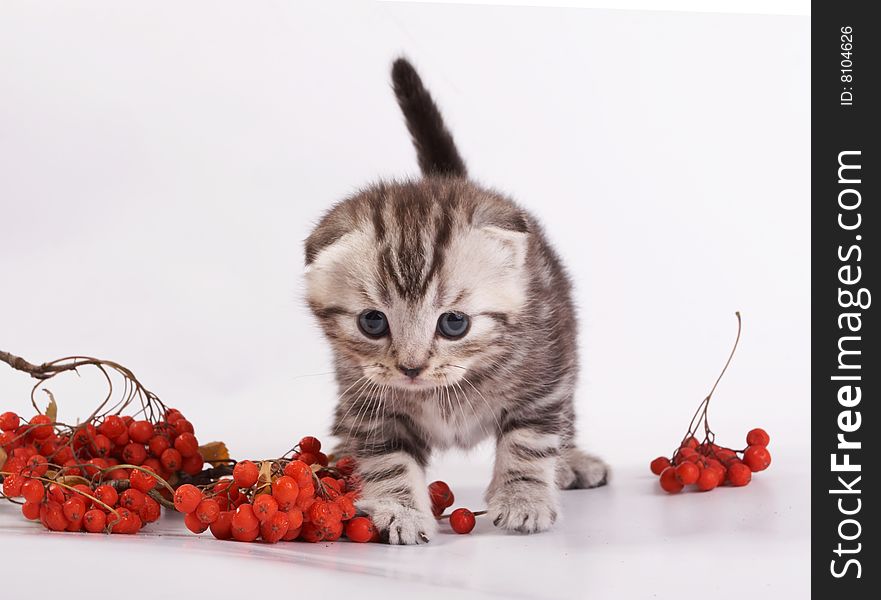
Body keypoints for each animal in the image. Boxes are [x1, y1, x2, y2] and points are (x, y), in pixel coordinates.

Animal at [302, 57, 604, 544]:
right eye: (372, 322)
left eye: (454, 324)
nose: (410, 368)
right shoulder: (368, 401)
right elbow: (386, 458)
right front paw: (400, 510)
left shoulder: (543, 380)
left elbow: (529, 442)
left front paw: (524, 499)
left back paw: (571, 463)